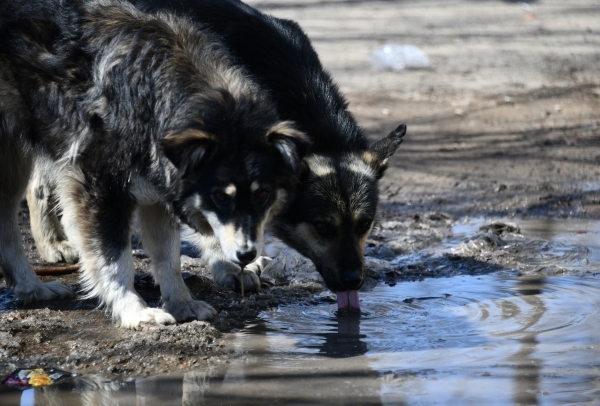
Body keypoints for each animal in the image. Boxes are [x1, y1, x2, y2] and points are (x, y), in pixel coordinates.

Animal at [0, 0, 310, 326]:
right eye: (220, 197)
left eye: (262, 194)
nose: (247, 256)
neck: (156, 97)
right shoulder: (98, 188)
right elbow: (116, 259)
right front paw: (133, 310)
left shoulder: (158, 189)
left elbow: (168, 257)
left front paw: (182, 303)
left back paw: (32, 288)